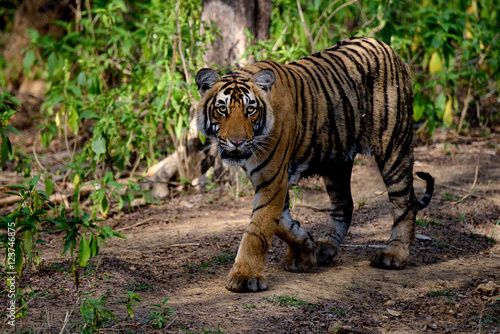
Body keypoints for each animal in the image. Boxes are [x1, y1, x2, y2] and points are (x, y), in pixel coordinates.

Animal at [195, 37, 434, 292]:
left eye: (250, 109)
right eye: (222, 109)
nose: (237, 141)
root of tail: (390, 49)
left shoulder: (273, 179)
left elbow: (258, 229)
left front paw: (244, 276)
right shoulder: (273, 180)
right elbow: (280, 223)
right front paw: (304, 248)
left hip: (394, 146)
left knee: (405, 202)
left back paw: (394, 255)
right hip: (337, 161)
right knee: (344, 204)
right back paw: (325, 247)